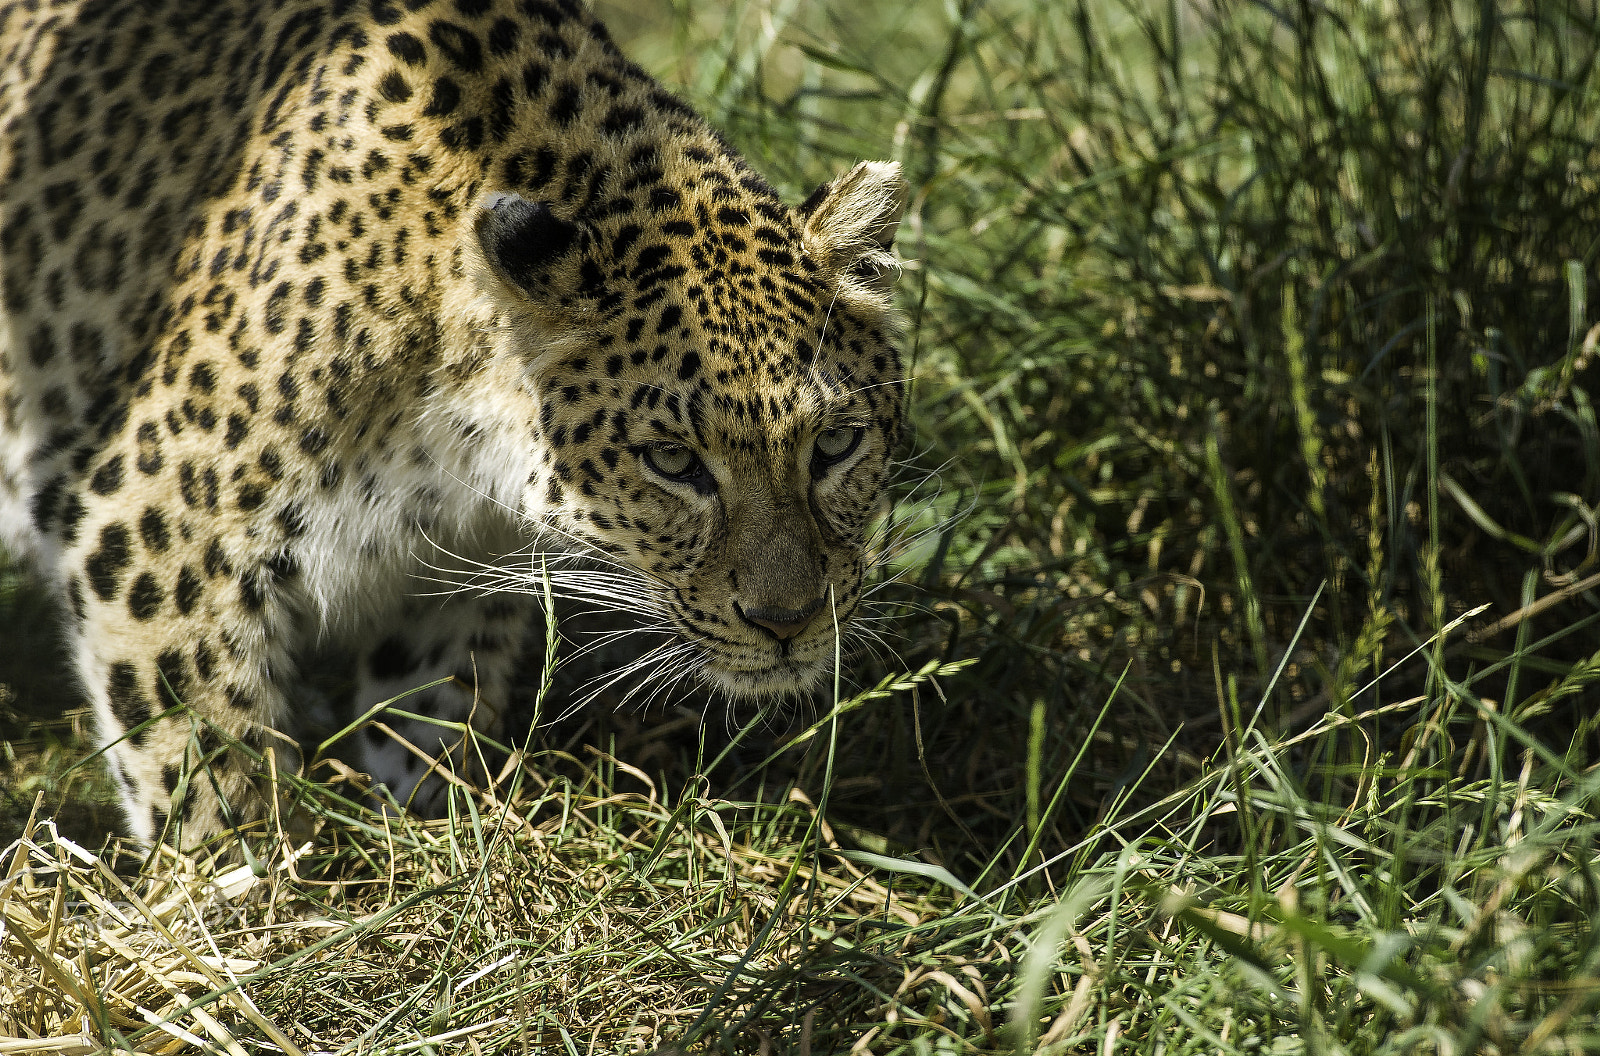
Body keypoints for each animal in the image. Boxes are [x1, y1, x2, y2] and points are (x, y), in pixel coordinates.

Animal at [0, 0, 908, 848]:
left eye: (836, 443)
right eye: (673, 462)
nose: (789, 622)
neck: (457, 436)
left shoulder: (456, 571)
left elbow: (430, 718)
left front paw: (433, 838)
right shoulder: (149, 526)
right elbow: (204, 763)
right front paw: (248, 886)